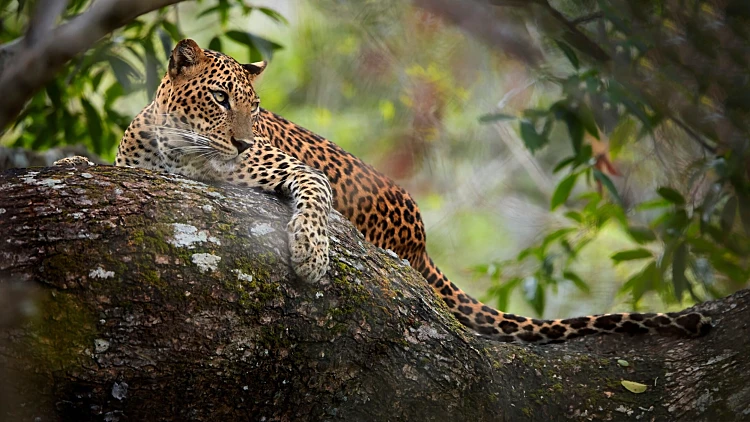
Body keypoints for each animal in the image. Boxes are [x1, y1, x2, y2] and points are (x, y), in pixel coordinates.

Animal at [90, 38, 711, 344]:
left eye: (255, 108)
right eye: (220, 99)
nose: (243, 143)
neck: (178, 148)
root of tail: (421, 241)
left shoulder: (298, 170)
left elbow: (313, 199)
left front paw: (310, 256)